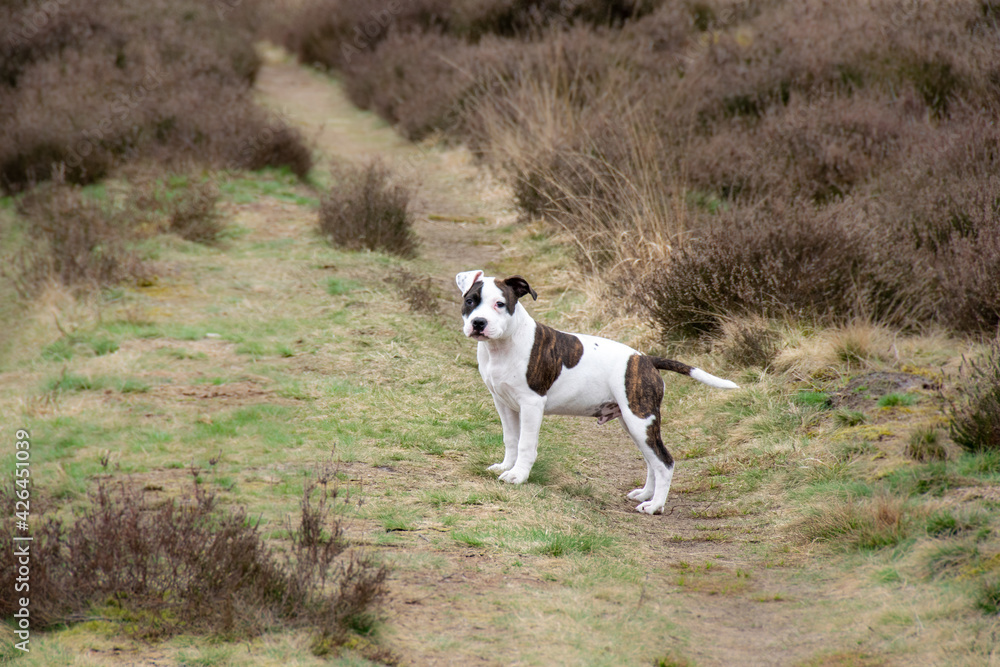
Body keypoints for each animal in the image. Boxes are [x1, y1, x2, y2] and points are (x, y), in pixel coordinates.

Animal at [458, 272, 740, 516]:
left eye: (500, 304)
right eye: (470, 301)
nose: (478, 323)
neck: (502, 346)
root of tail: (645, 359)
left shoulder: (531, 404)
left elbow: (526, 444)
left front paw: (518, 476)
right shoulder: (503, 402)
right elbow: (510, 439)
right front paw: (506, 466)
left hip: (640, 419)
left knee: (665, 462)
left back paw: (654, 506)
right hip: (634, 422)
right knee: (652, 461)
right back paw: (645, 494)